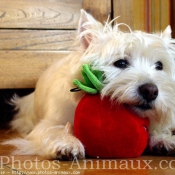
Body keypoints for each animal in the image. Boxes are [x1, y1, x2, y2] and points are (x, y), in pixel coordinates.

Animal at [4, 9, 175, 160]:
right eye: (120, 63)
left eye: (159, 66)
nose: (151, 91)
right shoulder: (48, 123)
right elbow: (55, 130)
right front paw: (67, 144)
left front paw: (163, 140)